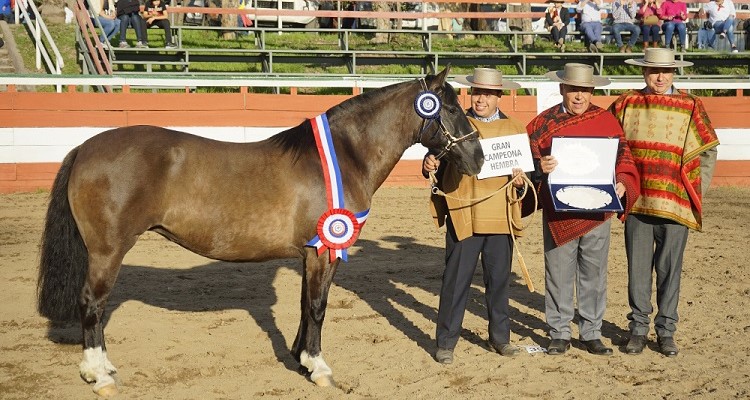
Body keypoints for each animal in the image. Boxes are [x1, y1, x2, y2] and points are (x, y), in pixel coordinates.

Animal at [36, 67, 482, 396]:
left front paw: (300, 358)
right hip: (107, 251)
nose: (478, 157)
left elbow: (305, 305)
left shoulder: (311, 252)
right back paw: (101, 376)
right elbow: (317, 307)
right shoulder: (323, 251)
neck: (342, 156)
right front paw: (319, 368)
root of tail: (85, 148)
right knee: (92, 304)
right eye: (450, 109)